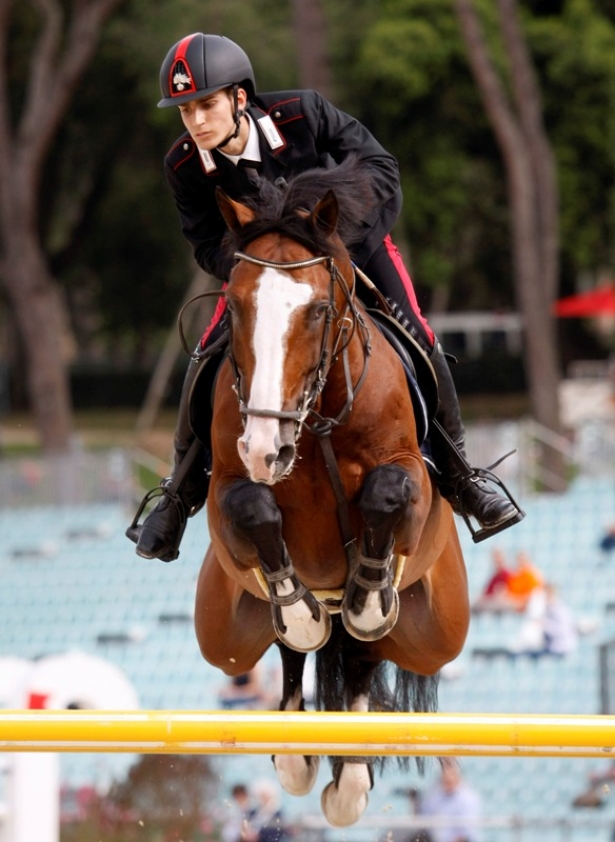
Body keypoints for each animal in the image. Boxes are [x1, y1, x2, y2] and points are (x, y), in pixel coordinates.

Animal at [194, 161, 472, 824]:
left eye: (319, 310)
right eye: (234, 308)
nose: (264, 445)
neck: (314, 420)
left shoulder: (409, 482)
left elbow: (386, 494)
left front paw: (368, 598)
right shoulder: (228, 498)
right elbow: (255, 509)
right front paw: (299, 612)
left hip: (437, 632)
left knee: (365, 657)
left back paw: (351, 775)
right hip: (224, 637)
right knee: (294, 654)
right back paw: (298, 748)